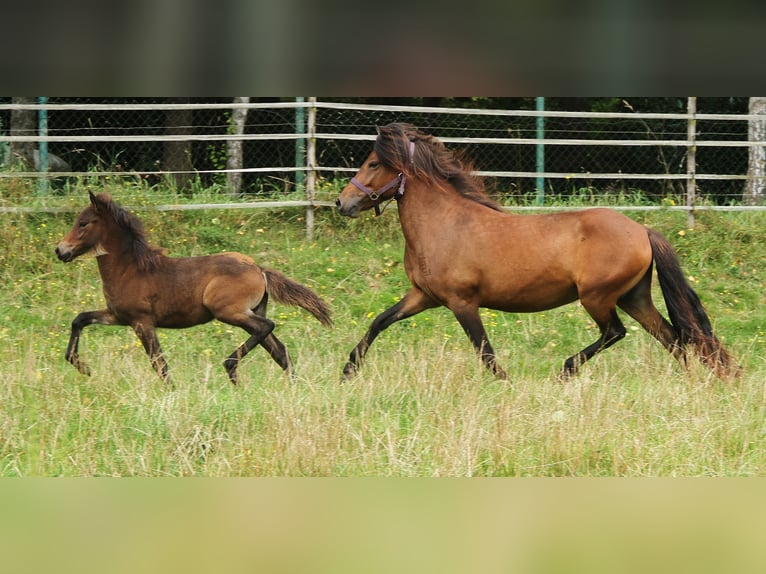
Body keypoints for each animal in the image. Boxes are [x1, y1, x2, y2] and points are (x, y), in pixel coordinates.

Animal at [57, 194, 332, 388]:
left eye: (83, 223)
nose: (60, 251)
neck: (130, 269)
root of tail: (259, 269)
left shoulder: (142, 321)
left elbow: (159, 363)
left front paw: (172, 392)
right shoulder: (118, 316)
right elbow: (79, 319)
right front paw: (83, 367)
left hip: (229, 312)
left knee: (267, 328)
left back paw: (231, 367)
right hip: (250, 311)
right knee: (279, 349)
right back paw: (293, 387)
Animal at [336, 121, 736, 382]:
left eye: (373, 163)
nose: (342, 203)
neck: (445, 224)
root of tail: (642, 230)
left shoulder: (462, 303)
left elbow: (485, 352)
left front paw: (506, 385)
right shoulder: (424, 296)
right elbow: (379, 321)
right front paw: (348, 371)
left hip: (597, 297)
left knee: (616, 332)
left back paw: (566, 369)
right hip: (633, 297)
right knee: (674, 338)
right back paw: (686, 384)